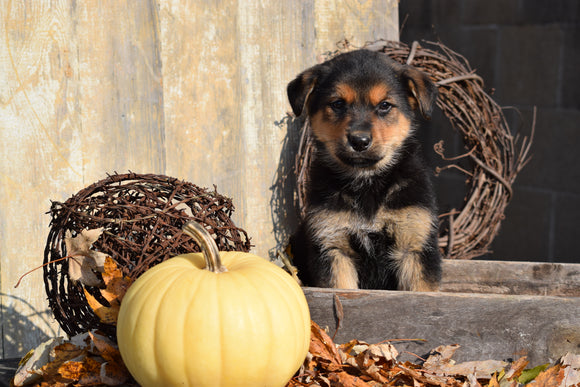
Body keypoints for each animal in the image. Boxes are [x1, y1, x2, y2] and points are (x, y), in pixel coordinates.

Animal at [288, 48, 442, 292]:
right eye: (338, 104)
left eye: (385, 105)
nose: (359, 141)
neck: (367, 181)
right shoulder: (333, 245)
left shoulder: (414, 245)